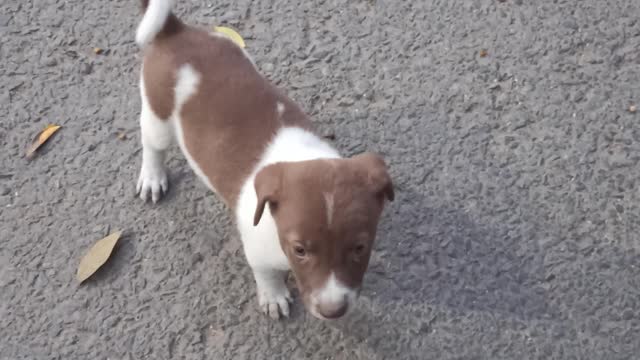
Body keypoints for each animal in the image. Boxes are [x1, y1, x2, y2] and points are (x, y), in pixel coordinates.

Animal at [134, 0, 392, 320]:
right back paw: (152, 177)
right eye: (300, 250)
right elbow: (265, 273)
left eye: (359, 247)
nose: (333, 311)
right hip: (157, 114)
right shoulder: (257, 251)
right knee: (152, 145)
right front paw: (274, 296)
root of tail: (174, 30)